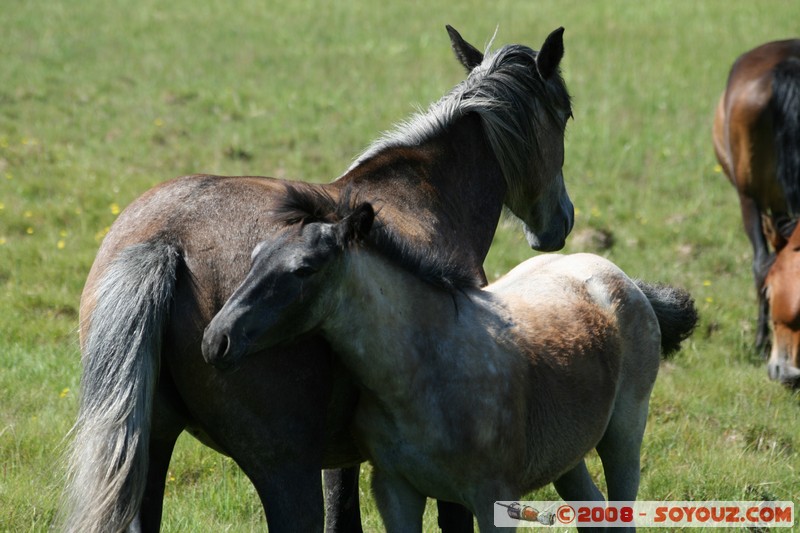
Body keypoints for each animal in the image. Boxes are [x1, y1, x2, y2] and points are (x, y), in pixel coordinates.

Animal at [61, 26, 576, 532]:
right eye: (567, 114)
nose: (562, 221)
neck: (423, 197)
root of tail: (165, 240)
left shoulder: (342, 453)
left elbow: (342, 514)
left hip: (155, 447)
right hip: (284, 470)